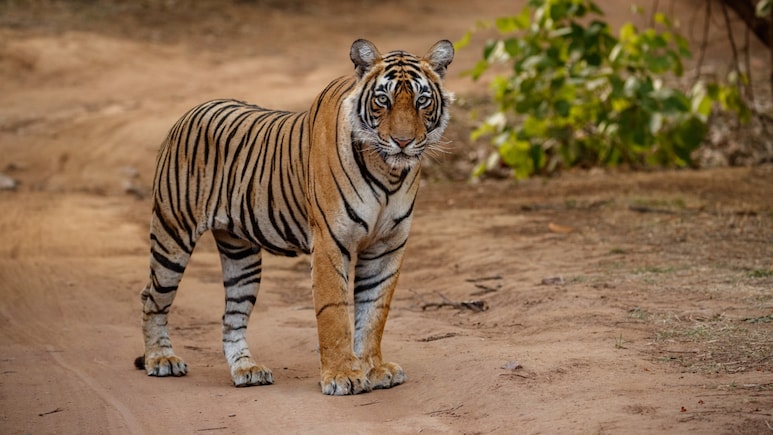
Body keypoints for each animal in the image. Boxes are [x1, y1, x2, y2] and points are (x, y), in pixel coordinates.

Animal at [135, 39, 454, 395]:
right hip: (172, 234)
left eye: (422, 100)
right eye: (382, 99)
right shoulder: (331, 242)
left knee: (232, 317)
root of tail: (189, 112)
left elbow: (374, 311)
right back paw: (161, 359)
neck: (389, 173)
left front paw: (374, 368)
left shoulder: (387, 247)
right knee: (152, 297)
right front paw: (342, 376)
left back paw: (247, 369)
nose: (403, 142)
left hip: (241, 256)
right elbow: (334, 312)